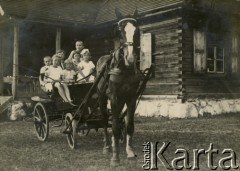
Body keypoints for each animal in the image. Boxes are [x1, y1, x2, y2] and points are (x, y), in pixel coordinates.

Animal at [96, 8, 140, 166]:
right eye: (120, 32)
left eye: (137, 31)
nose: (130, 58)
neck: (125, 69)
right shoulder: (114, 98)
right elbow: (114, 126)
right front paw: (115, 157)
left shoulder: (131, 98)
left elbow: (129, 125)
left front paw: (130, 151)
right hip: (102, 98)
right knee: (104, 120)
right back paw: (108, 146)